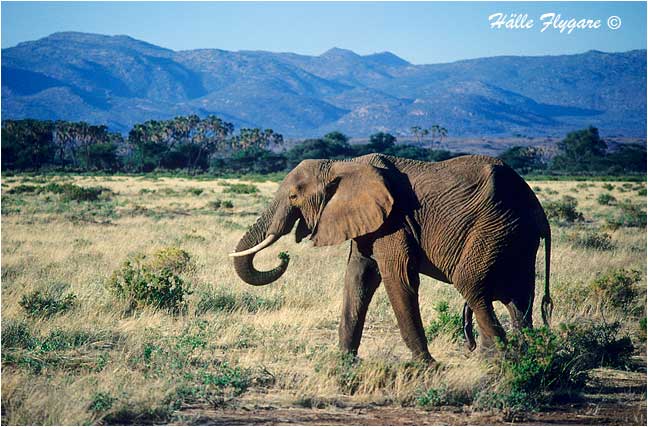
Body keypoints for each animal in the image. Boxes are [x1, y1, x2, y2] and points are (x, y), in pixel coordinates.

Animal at [230, 153, 552, 363]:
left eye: (294, 196)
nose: (284, 256)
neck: (342, 163)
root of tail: (539, 211)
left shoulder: (395, 221)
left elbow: (397, 278)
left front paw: (425, 366)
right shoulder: (370, 220)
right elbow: (358, 277)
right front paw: (343, 363)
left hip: (495, 228)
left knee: (472, 285)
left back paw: (497, 361)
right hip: (515, 237)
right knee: (518, 298)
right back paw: (517, 358)